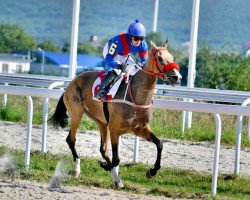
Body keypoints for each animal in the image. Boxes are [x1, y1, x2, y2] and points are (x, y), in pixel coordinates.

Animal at [49, 40, 182, 188]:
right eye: (160, 58)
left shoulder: (140, 128)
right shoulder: (115, 130)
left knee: (103, 149)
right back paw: (77, 170)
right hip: (77, 114)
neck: (136, 96)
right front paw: (105, 166)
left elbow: (159, 144)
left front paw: (152, 171)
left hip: (101, 121)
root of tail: (72, 82)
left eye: (171, 57)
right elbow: (116, 158)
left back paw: (116, 178)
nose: (177, 77)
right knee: (71, 139)